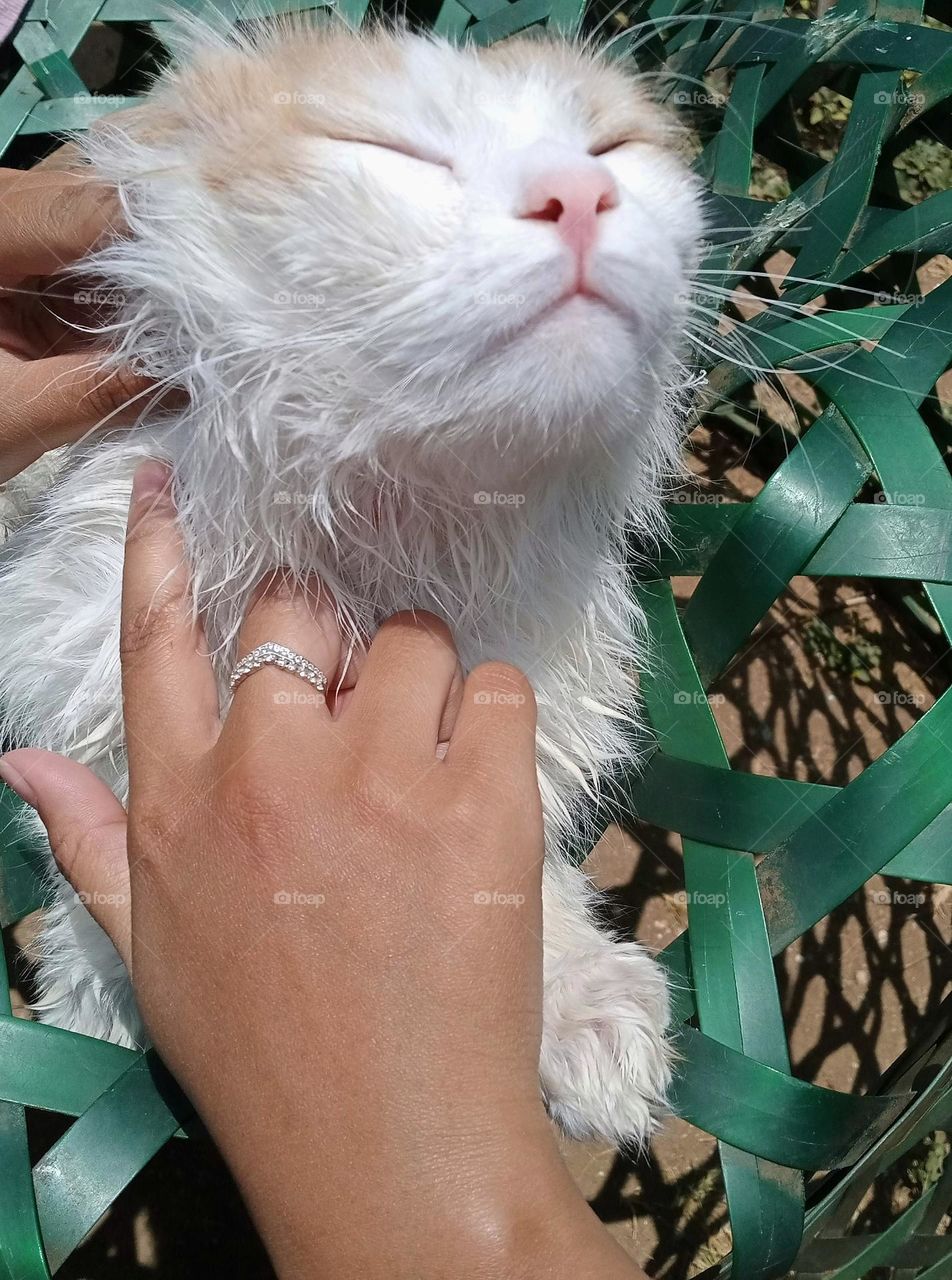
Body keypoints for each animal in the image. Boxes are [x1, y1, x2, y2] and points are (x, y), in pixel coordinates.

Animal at [0, 20, 701, 1146]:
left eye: (614, 148)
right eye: (388, 149)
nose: (581, 193)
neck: (390, 547)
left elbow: (514, 856)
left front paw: (576, 997)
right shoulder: (70, 666)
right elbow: (100, 842)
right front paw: (101, 983)